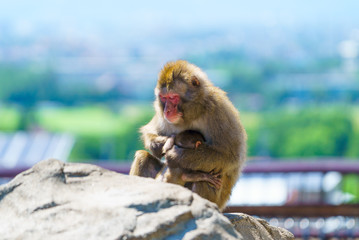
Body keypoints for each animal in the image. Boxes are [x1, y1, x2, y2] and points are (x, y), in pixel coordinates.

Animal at [129, 61, 248, 211]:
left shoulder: (219, 110)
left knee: (207, 178)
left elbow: (231, 156)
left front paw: (176, 156)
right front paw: (162, 143)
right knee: (143, 156)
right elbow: (150, 131)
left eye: (173, 97)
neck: (192, 113)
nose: (167, 110)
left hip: (218, 200)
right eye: (163, 98)